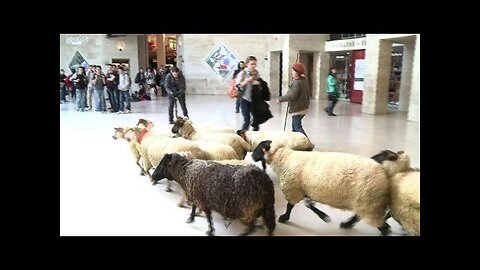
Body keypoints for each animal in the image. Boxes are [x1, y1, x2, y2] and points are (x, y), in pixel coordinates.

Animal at [253, 140, 392, 235]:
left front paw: (284, 218)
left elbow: (290, 206)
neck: (285, 158)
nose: (252, 157)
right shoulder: (305, 189)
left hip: (367, 200)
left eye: (259, 148)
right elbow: (308, 204)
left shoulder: (293, 189)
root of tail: (383, 171)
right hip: (366, 202)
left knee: (383, 227)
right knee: (360, 216)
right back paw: (347, 224)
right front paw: (324, 216)